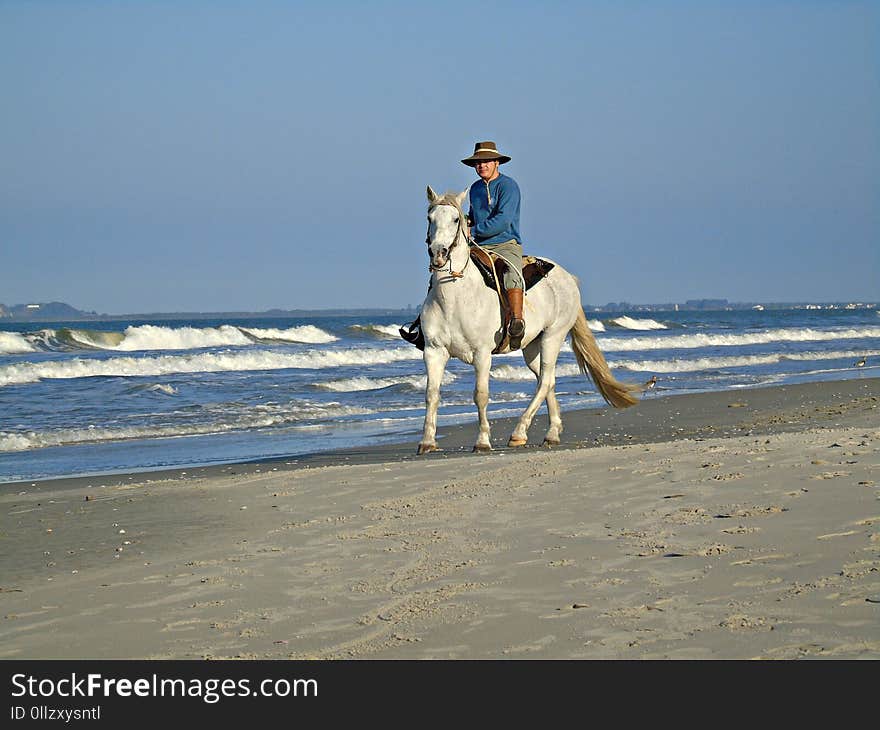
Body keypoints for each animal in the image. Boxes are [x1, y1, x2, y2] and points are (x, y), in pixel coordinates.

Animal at [416, 185, 644, 452]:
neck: (454, 297)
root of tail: (568, 278)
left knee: (545, 381)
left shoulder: (482, 353)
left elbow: (480, 395)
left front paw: (482, 441)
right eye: (429, 218)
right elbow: (432, 394)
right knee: (547, 380)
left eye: (455, 219)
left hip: (553, 337)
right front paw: (427, 441)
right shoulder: (434, 351)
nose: (438, 253)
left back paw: (519, 432)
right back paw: (551, 433)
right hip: (532, 346)